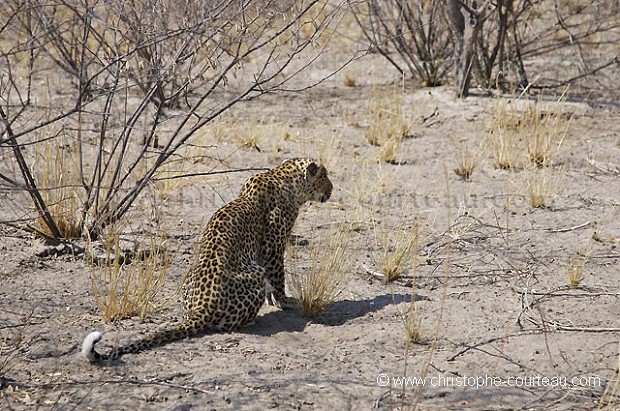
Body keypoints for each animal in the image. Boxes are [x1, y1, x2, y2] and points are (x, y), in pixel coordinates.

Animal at [84, 158, 334, 364]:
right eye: (324, 176)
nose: (331, 190)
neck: (284, 179)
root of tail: (202, 308)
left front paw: (275, 299)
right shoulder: (273, 244)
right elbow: (278, 274)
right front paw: (286, 300)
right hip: (254, 277)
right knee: (231, 322)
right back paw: (251, 321)